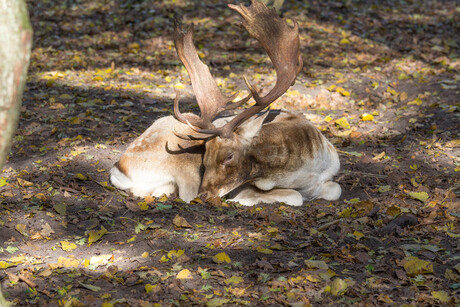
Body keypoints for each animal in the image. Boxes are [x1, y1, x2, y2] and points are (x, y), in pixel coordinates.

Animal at [109, 0, 340, 207]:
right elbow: (295, 196)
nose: (203, 195)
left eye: (229, 156)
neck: (306, 173)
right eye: (204, 158)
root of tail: (119, 167)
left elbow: (335, 189)